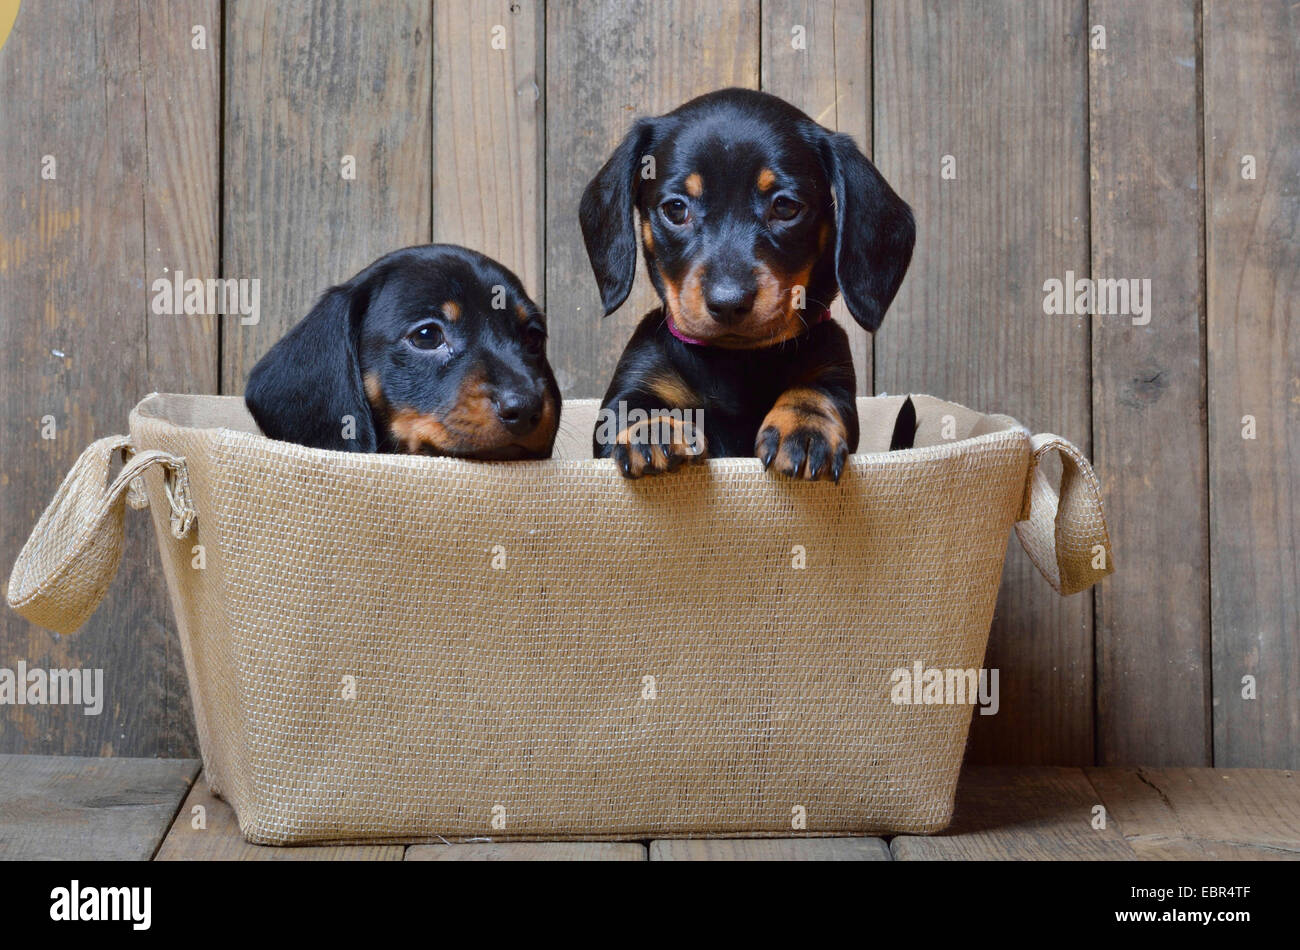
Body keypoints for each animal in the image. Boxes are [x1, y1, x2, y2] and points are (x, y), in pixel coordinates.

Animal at [579, 87, 915, 483]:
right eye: (675, 209)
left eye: (785, 207)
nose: (728, 303)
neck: (736, 358)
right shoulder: (637, 377)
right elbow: (629, 405)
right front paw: (652, 426)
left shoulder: (834, 370)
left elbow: (818, 391)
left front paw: (804, 427)